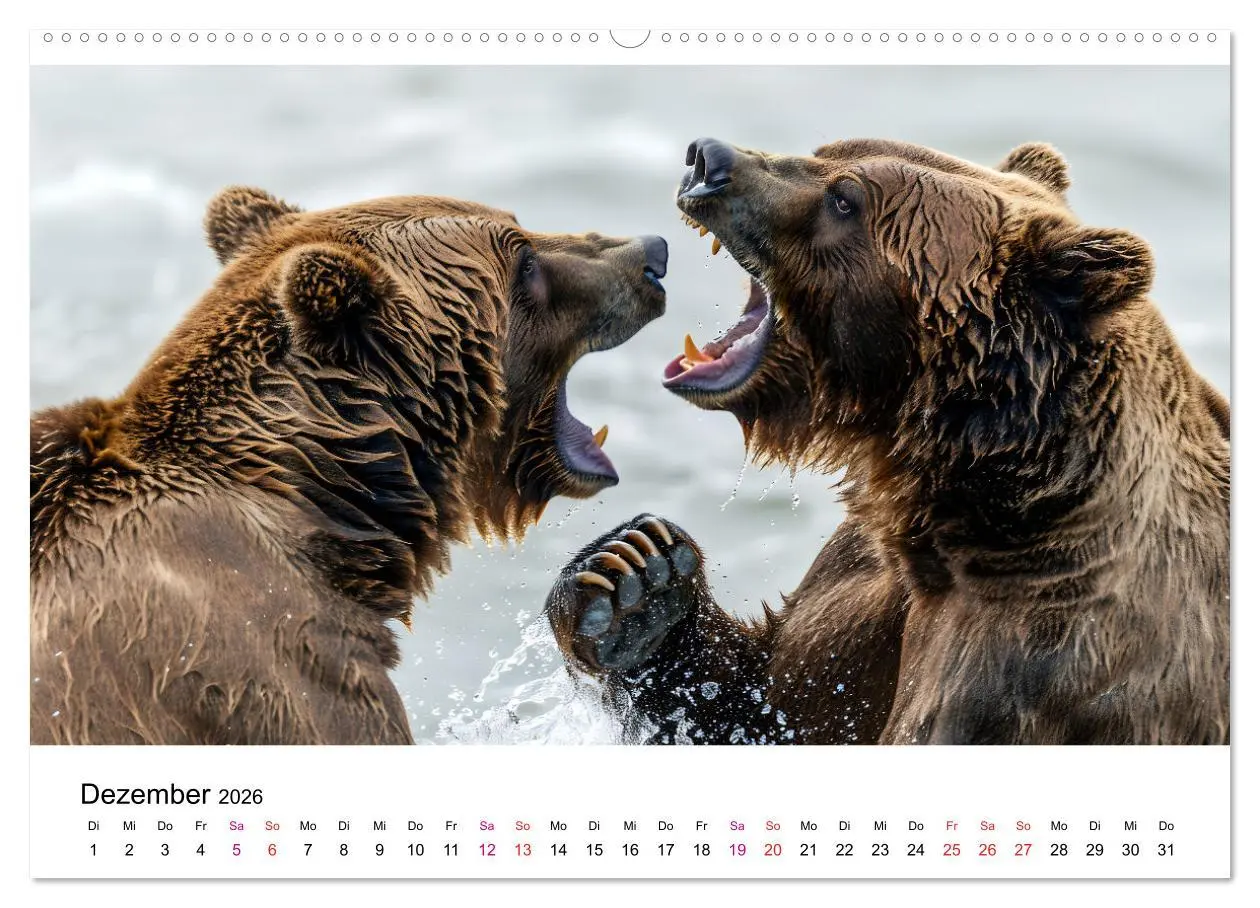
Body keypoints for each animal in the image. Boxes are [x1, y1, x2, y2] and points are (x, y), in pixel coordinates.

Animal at [545, 137, 1230, 745]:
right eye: (826, 153)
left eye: (845, 199)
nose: (709, 159)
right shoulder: (869, 583)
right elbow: (761, 703)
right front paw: (634, 579)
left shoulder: (1037, 665)